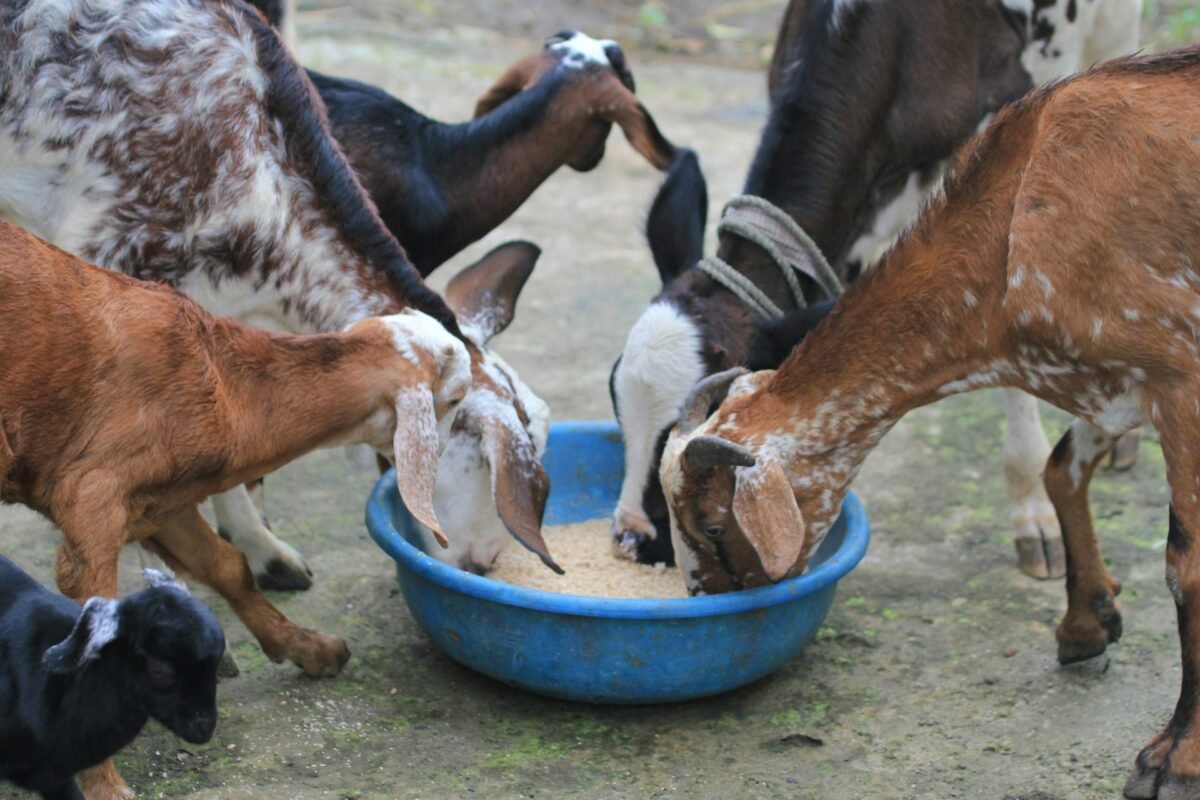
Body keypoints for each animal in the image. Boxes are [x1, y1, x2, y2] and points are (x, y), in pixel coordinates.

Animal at [660, 47, 1200, 798]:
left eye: (713, 526)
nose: (703, 599)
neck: (1017, 223)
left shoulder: (1179, 374)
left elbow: (1187, 567)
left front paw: (1173, 758)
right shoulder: (1116, 381)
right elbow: (1062, 470)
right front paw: (1085, 621)